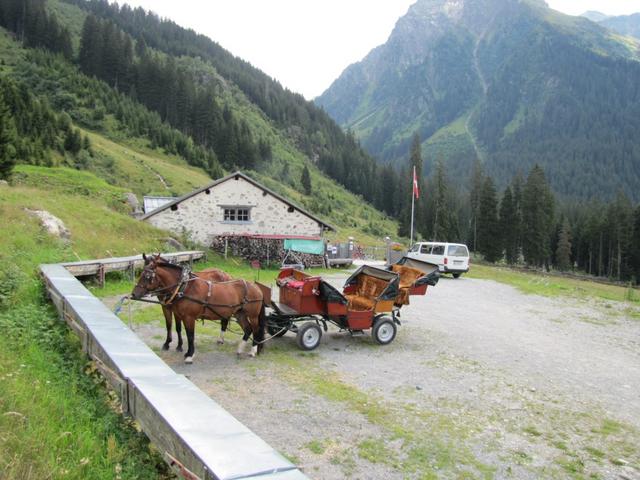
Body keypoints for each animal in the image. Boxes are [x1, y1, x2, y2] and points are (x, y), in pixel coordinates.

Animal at [131, 253, 266, 362]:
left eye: (147, 276)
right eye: (141, 273)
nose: (133, 294)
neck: (184, 287)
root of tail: (256, 287)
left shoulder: (188, 317)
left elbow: (190, 335)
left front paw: (189, 355)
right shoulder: (177, 313)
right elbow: (177, 329)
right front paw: (179, 348)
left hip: (253, 315)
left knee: (255, 329)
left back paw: (252, 350)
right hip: (239, 313)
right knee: (247, 329)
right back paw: (239, 349)